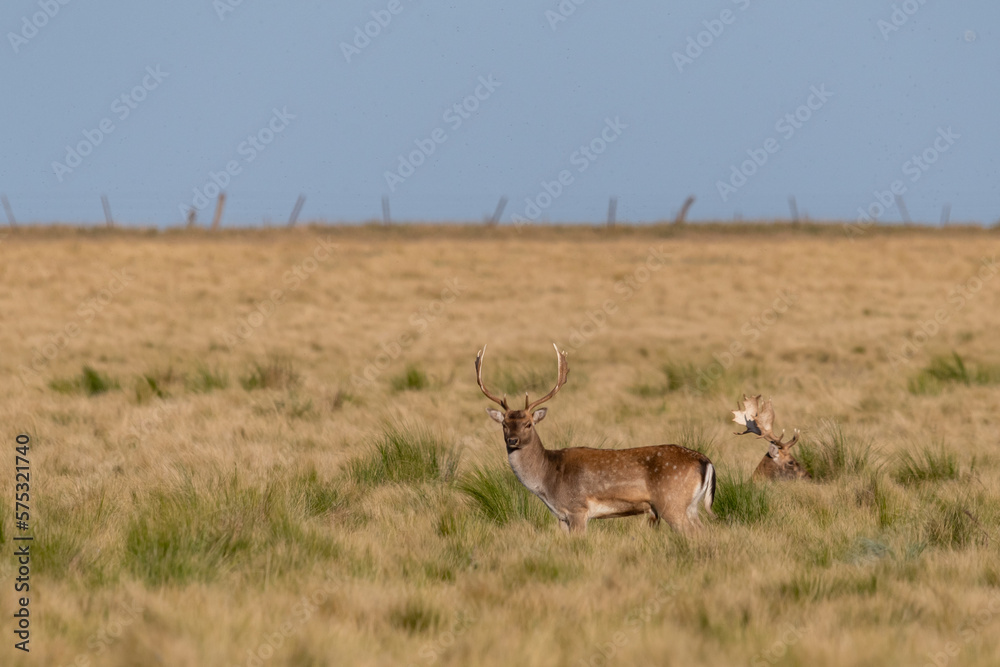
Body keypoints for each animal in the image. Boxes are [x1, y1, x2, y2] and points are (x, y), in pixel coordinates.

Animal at [476, 343, 716, 534]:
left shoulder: (577, 509)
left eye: (528, 424)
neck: (548, 482)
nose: (512, 441)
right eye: (504, 425)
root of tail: (706, 462)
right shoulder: (561, 516)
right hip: (691, 506)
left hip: (672, 503)